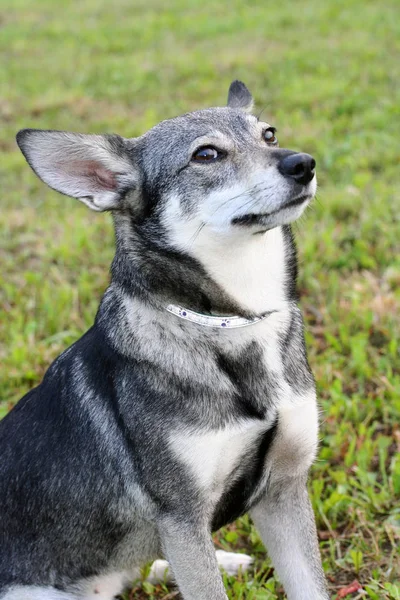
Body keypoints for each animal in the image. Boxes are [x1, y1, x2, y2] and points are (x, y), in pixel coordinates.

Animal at [0, 81, 328, 600]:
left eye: (270, 134)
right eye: (206, 154)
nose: (304, 163)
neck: (230, 322)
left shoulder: (285, 489)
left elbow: (311, 586)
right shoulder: (182, 518)